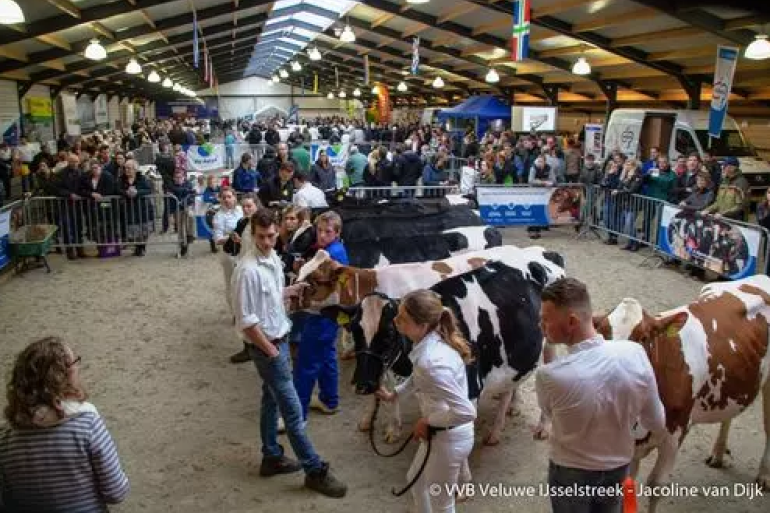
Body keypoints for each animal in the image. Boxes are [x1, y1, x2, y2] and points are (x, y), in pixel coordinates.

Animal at [296, 244, 564, 440]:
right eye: (298, 272)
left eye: (314, 281)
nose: (288, 297)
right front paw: (368, 418)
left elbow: (391, 388)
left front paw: (393, 428)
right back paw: (510, 405)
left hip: (549, 342)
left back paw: (542, 426)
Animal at [592, 276, 768, 512]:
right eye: (602, 333)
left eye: (644, 337)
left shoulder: (675, 434)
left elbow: (656, 486)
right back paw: (718, 454)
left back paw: (764, 475)